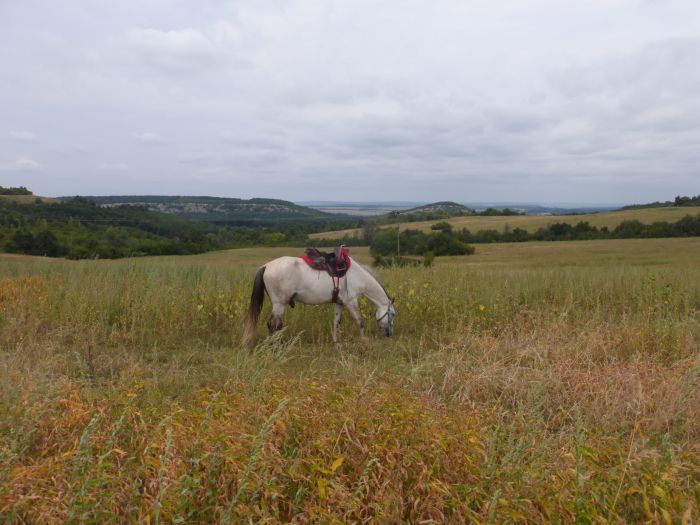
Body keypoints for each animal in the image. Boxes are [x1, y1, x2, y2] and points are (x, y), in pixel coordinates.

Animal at [242, 254, 394, 344]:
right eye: (392, 314)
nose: (389, 334)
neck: (357, 276)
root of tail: (265, 266)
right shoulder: (351, 302)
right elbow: (360, 321)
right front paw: (364, 340)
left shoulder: (340, 303)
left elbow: (336, 322)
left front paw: (335, 342)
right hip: (279, 304)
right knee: (273, 324)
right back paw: (275, 345)